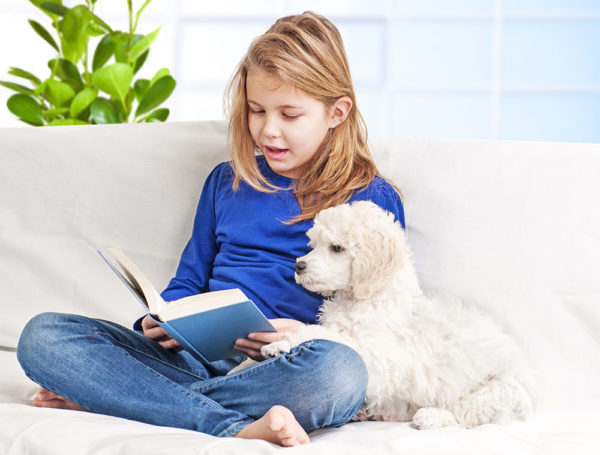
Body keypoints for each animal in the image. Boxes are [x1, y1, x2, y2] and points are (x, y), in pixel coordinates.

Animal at [234, 201, 536, 430]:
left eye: (337, 248)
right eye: (315, 244)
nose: (298, 266)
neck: (367, 296)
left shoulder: (381, 358)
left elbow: (324, 334)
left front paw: (280, 342)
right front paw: (247, 363)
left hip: (498, 390)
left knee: (466, 413)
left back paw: (429, 416)